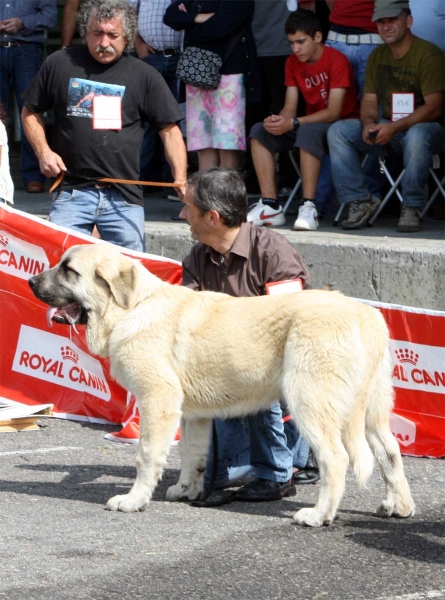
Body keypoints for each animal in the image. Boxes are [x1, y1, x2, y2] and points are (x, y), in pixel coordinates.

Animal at [29, 243, 414, 524]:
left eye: (69, 270)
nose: (32, 283)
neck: (131, 307)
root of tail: (364, 314)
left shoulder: (158, 399)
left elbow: (147, 455)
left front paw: (134, 500)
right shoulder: (192, 415)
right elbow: (192, 454)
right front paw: (186, 490)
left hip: (310, 402)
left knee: (336, 458)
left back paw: (319, 515)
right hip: (371, 409)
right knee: (390, 452)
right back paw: (398, 506)